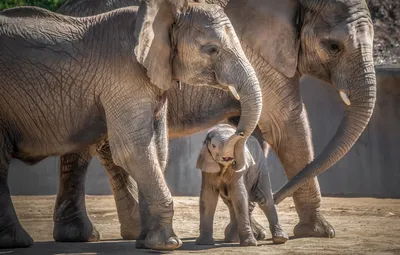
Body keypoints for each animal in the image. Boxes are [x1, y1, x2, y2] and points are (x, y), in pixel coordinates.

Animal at [0, 0, 262, 251]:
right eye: (212, 50)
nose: (236, 130)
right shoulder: (125, 76)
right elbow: (133, 150)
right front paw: (168, 244)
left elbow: (156, 150)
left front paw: (146, 242)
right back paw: (17, 242)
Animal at [52, 0, 376, 243]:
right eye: (333, 46)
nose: (268, 198)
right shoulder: (261, 57)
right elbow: (286, 124)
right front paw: (318, 232)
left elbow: (255, 131)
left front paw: (251, 229)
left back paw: (116, 234)